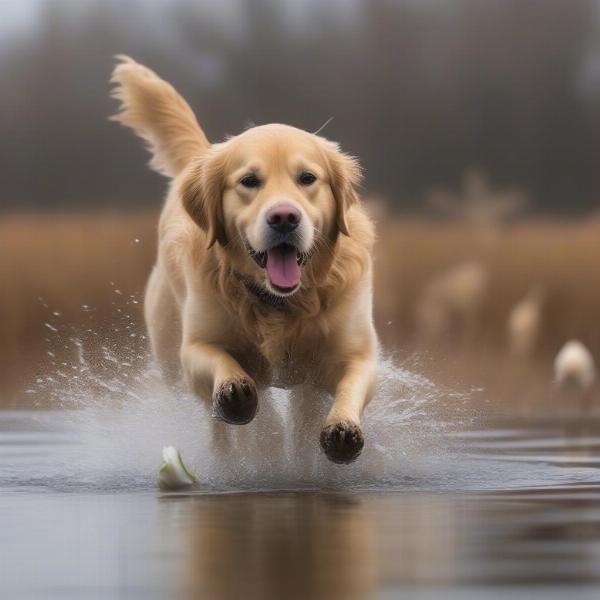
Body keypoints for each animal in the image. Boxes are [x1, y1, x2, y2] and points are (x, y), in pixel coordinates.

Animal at [110, 57, 378, 464]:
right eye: (249, 181)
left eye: (307, 178)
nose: (284, 217)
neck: (281, 303)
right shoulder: (195, 347)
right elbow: (221, 365)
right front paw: (235, 392)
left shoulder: (354, 349)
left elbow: (352, 383)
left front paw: (342, 429)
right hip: (169, 350)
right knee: (231, 423)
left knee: (301, 412)